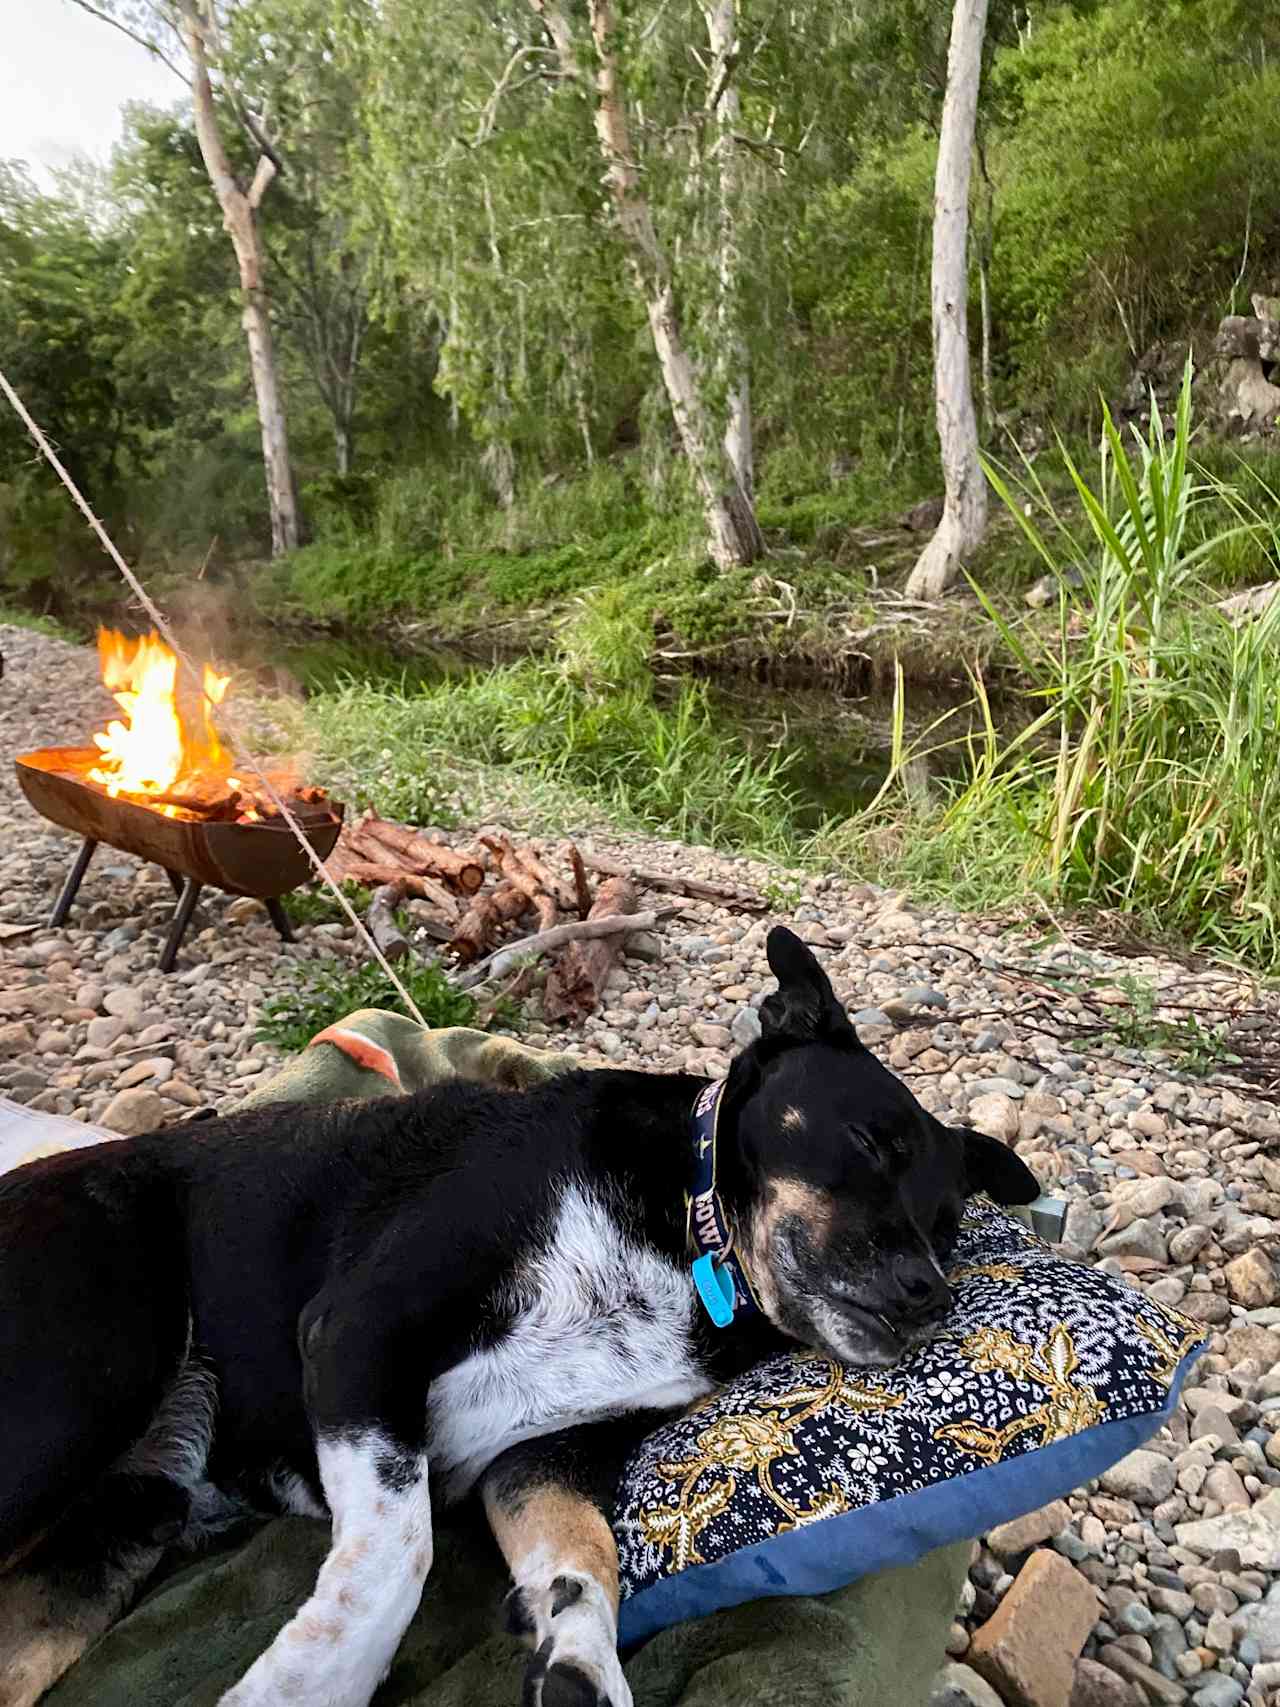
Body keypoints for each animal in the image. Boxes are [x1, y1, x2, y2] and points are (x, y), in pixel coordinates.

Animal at [0, 935, 1037, 1707]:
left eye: (950, 1222)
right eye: (866, 1139)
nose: (929, 1295)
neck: (685, 1230)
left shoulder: (539, 1455)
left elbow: (587, 1551)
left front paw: (582, 1658)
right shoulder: (362, 1328)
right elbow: (399, 1551)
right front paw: (313, 1679)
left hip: (122, 1517)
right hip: (97, 1368)